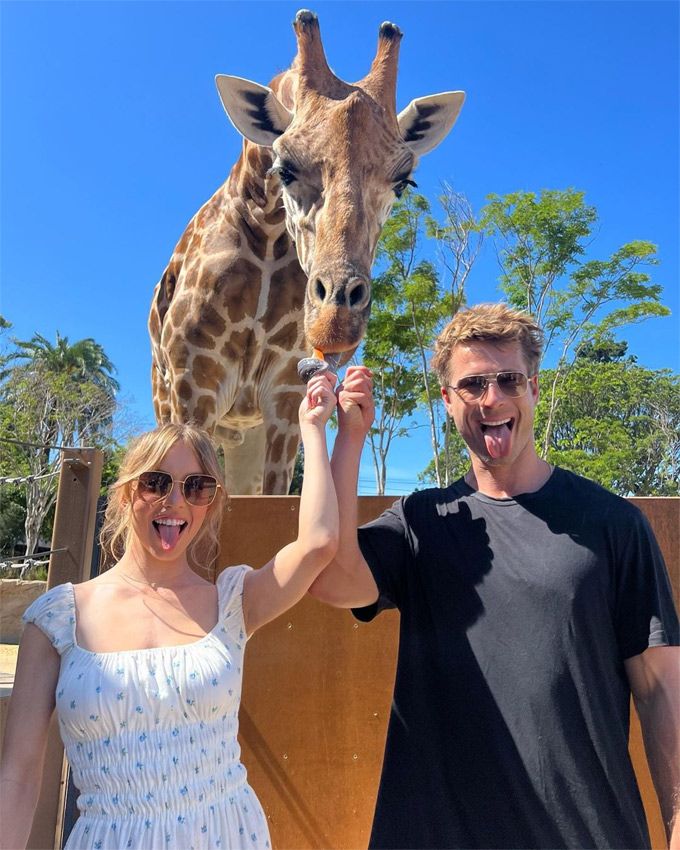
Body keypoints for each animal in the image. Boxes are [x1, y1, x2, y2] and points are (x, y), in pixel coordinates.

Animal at [149, 9, 464, 494]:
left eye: (404, 180)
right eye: (285, 168)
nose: (334, 321)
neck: (268, 236)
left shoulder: (285, 394)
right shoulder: (193, 379)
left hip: (245, 434)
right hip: (166, 398)